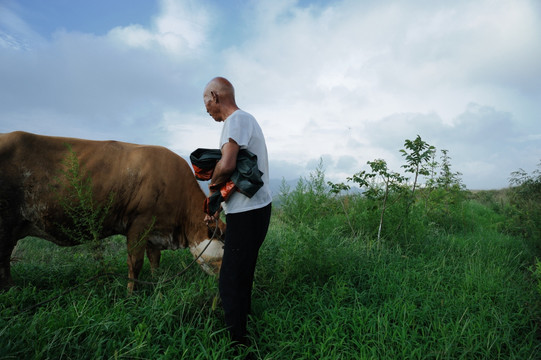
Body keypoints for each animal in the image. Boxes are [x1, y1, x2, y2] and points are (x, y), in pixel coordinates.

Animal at [0, 131, 224, 292]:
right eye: (224, 240)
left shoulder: (155, 229)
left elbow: (154, 260)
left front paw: (157, 282)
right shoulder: (139, 223)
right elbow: (135, 263)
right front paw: (131, 294)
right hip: (6, 222)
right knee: (3, 260)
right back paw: (10, 291)